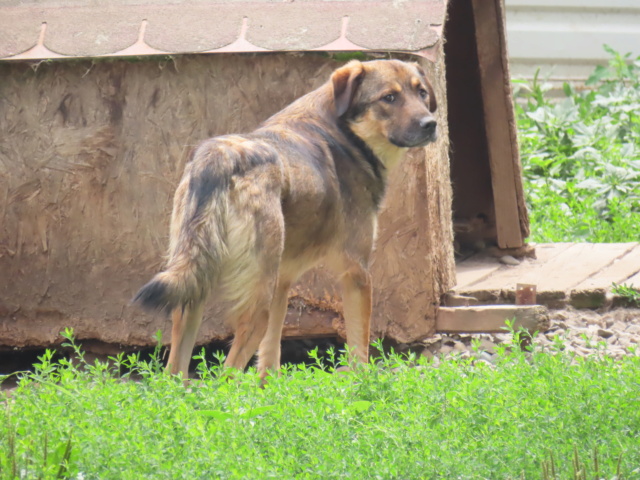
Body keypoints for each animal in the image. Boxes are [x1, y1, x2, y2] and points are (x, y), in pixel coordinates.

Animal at [132, 60, 438, 380]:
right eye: (389, 98)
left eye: (422, 93)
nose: (431, 124)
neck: (344, 131)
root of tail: (221, 155)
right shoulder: (356, 273)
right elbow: (360, 350)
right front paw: (362, 385)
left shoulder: (282, 283)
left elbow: (269, 358)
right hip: (257, 307)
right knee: (227, 375)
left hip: (194, 291)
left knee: (176, 370)